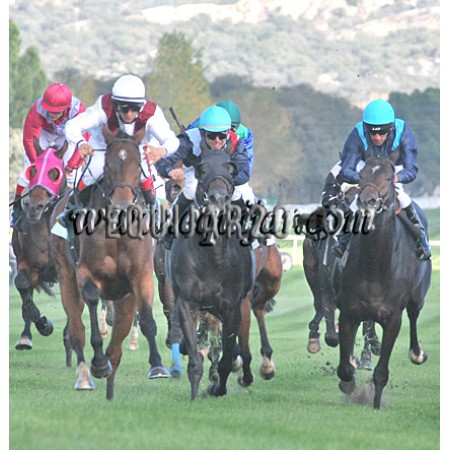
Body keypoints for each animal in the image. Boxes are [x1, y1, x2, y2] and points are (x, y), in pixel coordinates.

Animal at [11, 141, 68, 350]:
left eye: (55, 173)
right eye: (33, 170)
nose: (34, 207)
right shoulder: (27, 262)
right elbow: (22, 285)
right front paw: (44, 325)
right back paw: (25, 337)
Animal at [50, 126, 169, 399]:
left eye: (138, 165)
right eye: (107, 164)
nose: (122, 206)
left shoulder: (141, 274)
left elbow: (147, 317)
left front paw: (157, 365)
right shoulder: (85, 271)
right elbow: (93, 300)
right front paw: (99, 363)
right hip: (66, 275)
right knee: (76, 328)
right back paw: (85, 376)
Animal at [168, 149, 255, 400]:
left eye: (231, 169)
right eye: (202, 169)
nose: (218, 199)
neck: (212, 259)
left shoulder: (233, 308)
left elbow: (226, 358)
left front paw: (217, 387)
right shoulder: (187, 302)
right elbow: (195, 356)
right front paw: (195, 392)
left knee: (244, 350)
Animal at [332, 156, 431, 409]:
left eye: (388, 177)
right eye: (362, 175)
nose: (367, 200)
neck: (374, 267)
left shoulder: (393, 318)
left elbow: (381, 372)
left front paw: (376, 405)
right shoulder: (348, 312)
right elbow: (345, 368)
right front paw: (348, 384)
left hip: (418, 296)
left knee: (414, 315)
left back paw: (417, 354)